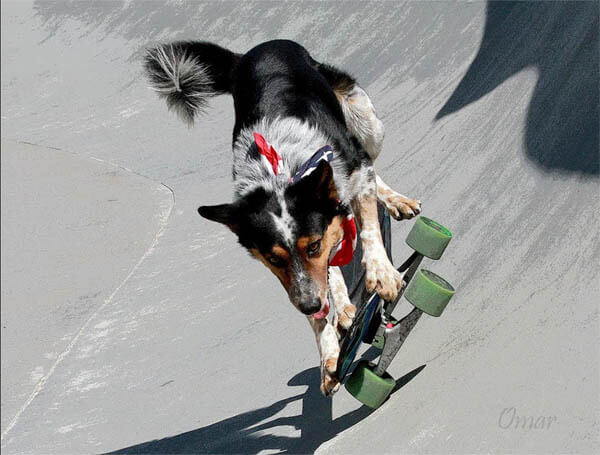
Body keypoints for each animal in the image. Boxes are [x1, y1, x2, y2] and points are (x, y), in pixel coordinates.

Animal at [144, 39, 422, 396]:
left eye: (312, 246)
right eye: (273, 260)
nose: (309, 305)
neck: (282, 173)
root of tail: (256, 51)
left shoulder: (346, 182)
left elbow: (367, 227)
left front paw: (382, 274)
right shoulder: (302, 273)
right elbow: (321, 292)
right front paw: (329, 353)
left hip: (364, 118)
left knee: (370, 163)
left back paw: (394, 201)